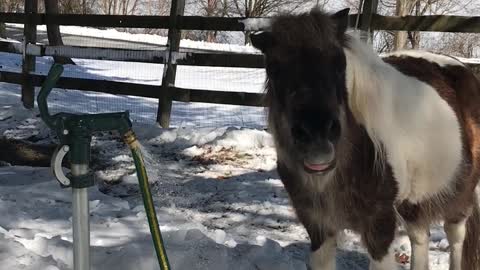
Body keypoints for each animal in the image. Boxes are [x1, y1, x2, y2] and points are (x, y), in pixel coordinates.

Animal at [249, 7, 480, 270]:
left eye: (339, 63)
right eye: (274, 68)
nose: (317, 138)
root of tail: (462, 69)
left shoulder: (380, 227)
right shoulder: (318, 227)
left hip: (460, 194)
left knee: (456, 237)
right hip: (414, 200)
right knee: (419, 236)